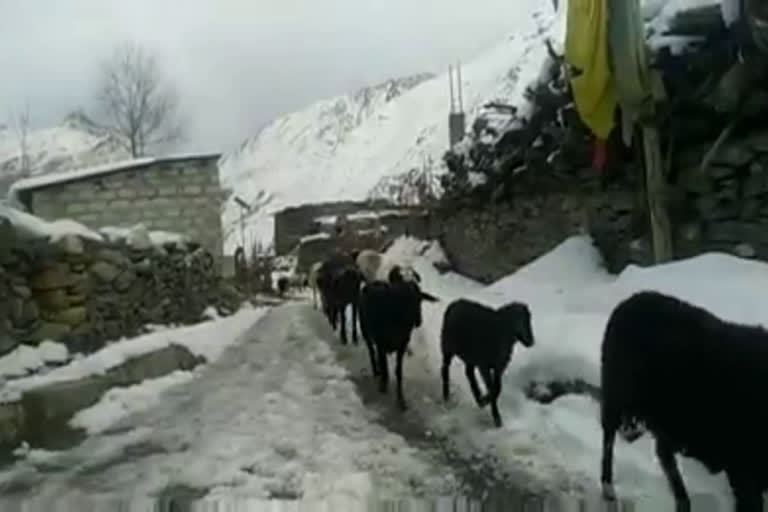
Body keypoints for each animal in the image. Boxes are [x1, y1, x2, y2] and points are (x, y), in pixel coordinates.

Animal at [360, 274, 438, 410]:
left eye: (420, 300)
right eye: (413, 301)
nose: (419, 321)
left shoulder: (402, 346)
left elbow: (398, 372)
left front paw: (401, 399)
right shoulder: (381, 344)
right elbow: (385, 368)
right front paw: (383, 386)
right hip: (365, 330)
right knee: (371, 350)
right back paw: (376, 370)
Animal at [438, 296, 536, 428]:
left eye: (528, 320)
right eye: (521, 320)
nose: (531, 342)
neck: (500, 332)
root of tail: (456, 302)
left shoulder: (499, 366)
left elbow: (497, 388)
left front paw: (488, 405)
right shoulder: (484, 364)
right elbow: (493, 388)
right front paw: (492, 411)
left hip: (470, 354)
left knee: (469, 373)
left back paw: (478, 397)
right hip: (448, 346)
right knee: (445, 369)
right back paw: (447, 395)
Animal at [604, 292, 768, 512]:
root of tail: (629, 301)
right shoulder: (743, 471)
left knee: (663, 453)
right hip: (616, 397)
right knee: (609, 439)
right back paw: (609, 491)